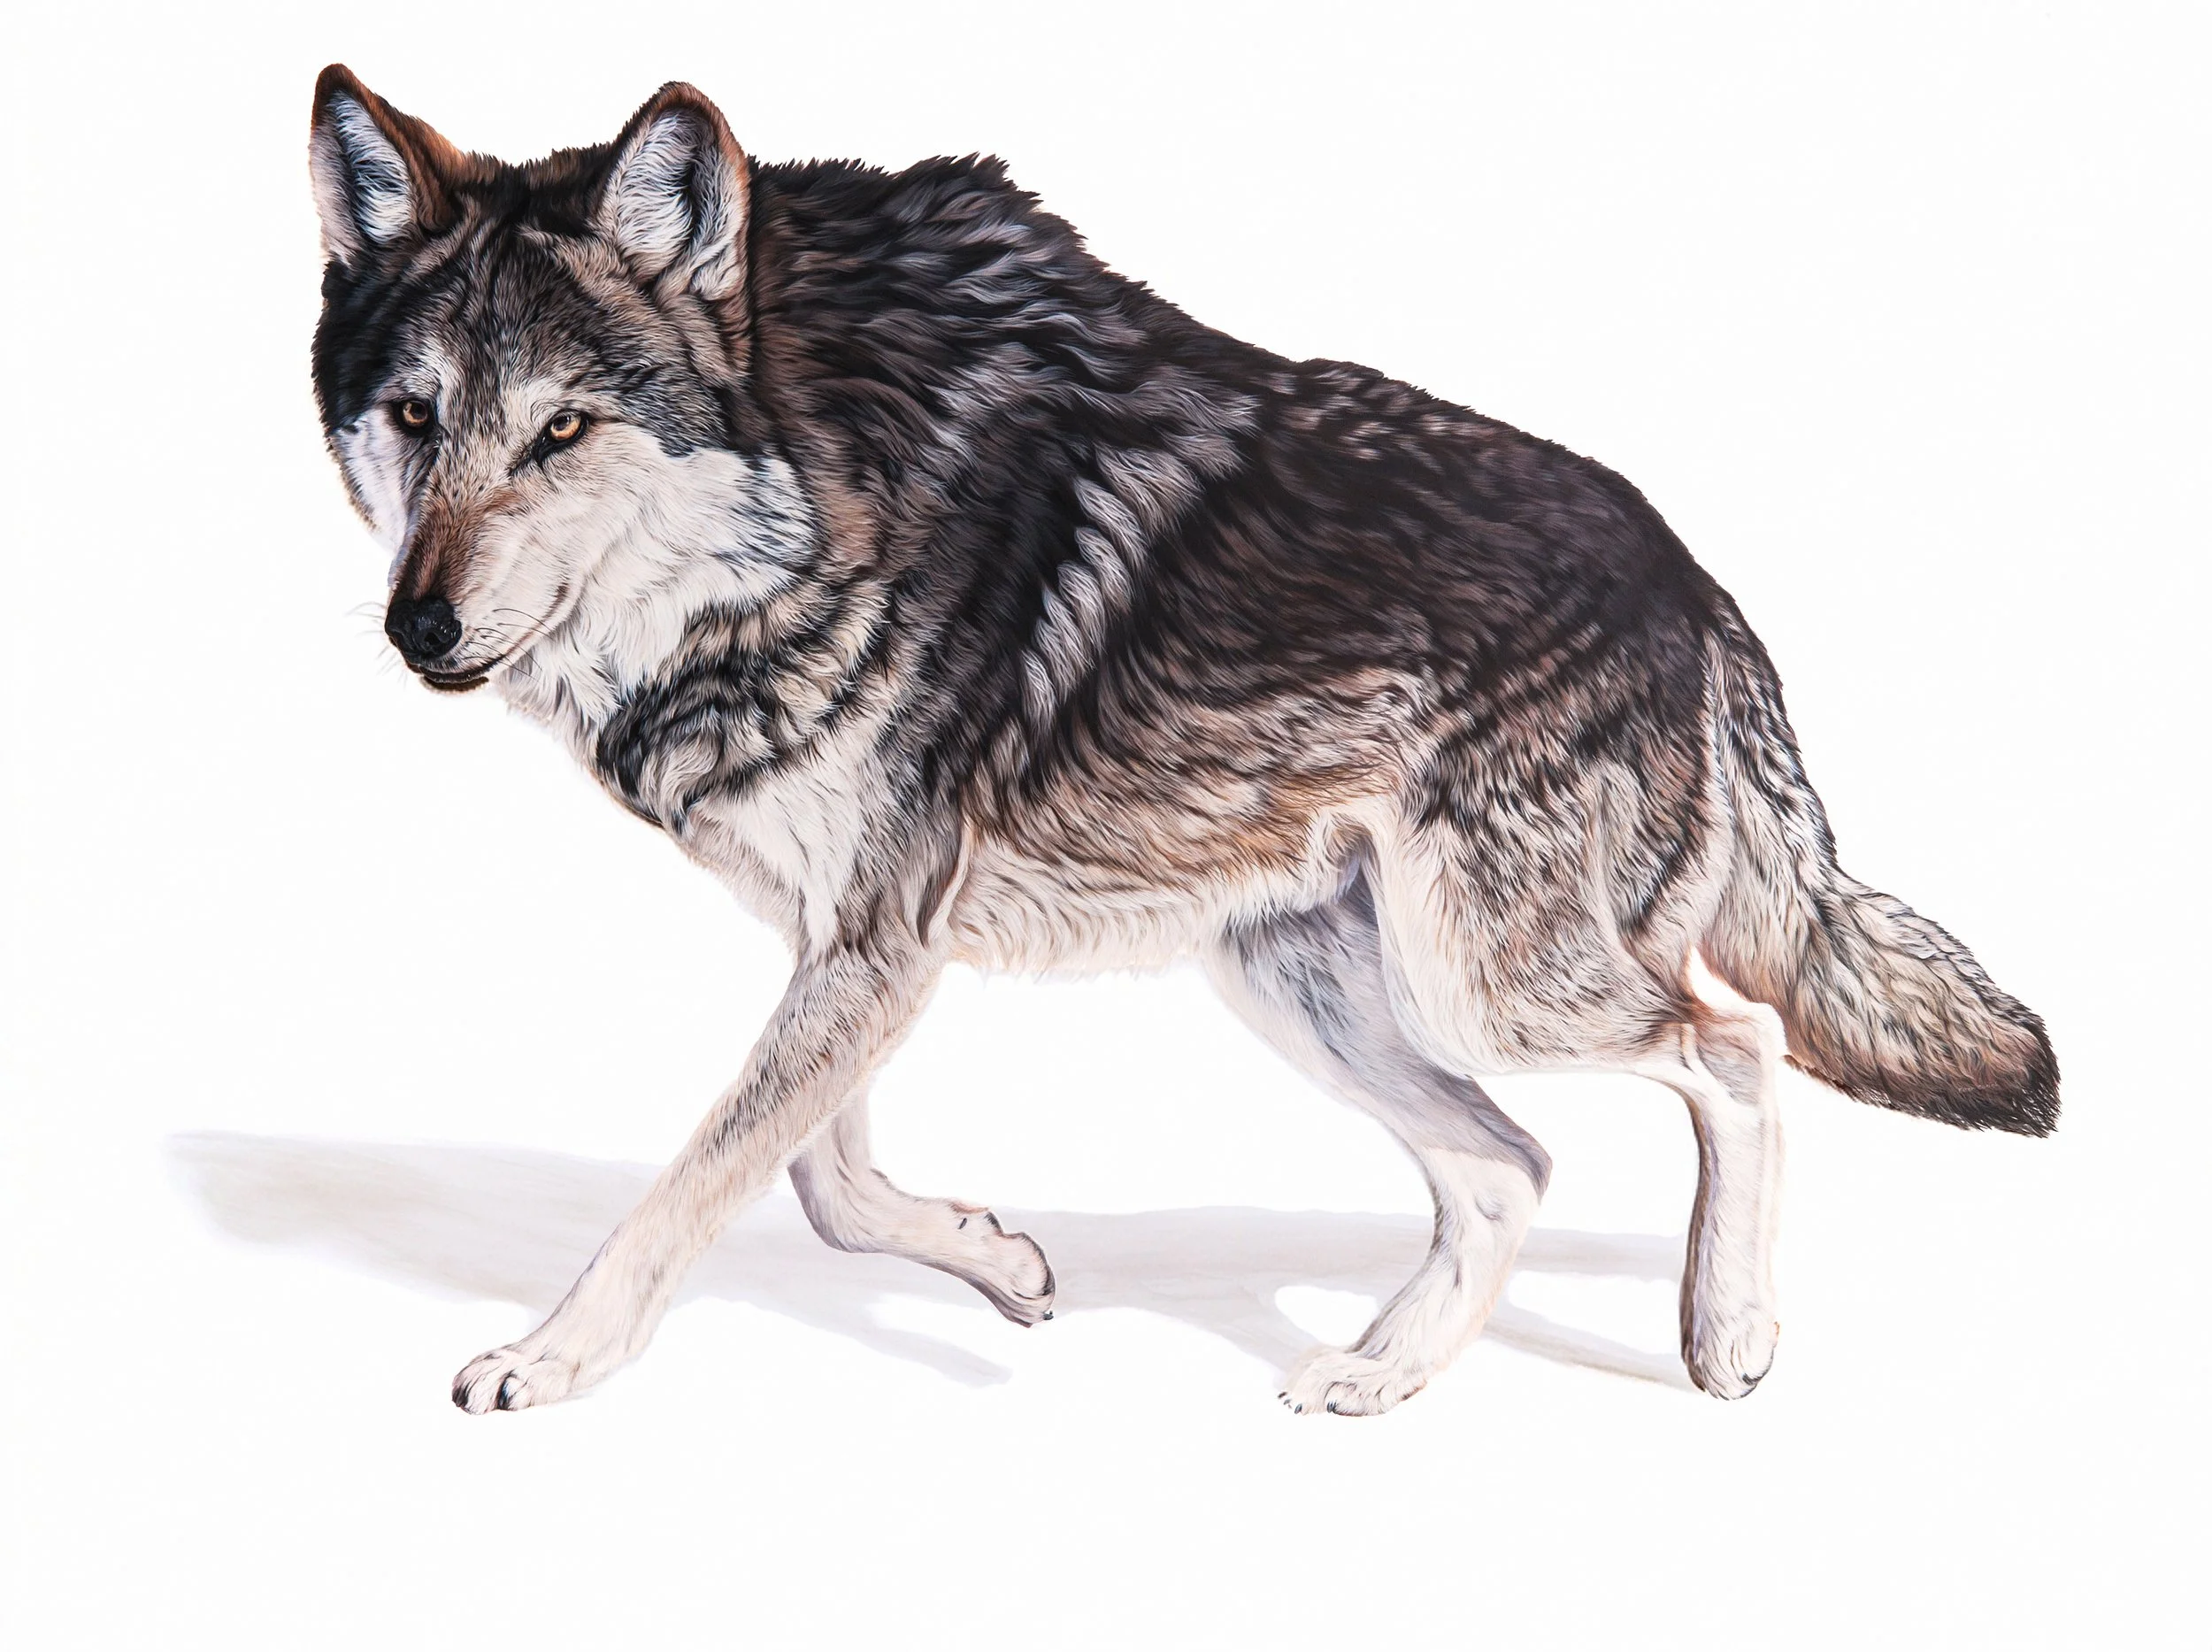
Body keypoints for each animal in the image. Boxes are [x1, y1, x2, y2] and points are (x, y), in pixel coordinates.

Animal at [307, 66, 2057, 1416]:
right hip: (1301, 985)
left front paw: (546, 1359)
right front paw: (1001, 1262)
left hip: (1490, 988)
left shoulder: (873, 939)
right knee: (1514, 1166)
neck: (818, 498)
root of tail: (1699, 587)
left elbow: (696, 1186)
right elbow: (812, 1171)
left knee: (1736, 1050)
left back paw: (1727, 1334)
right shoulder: (855, 939)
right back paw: (1381, 1372)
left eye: (561, 430)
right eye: (413, 417)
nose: (418, 628)